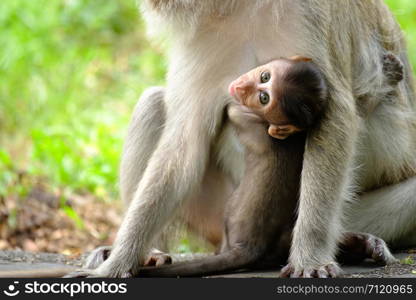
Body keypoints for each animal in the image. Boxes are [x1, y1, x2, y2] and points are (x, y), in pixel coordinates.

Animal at [70, 0, 414, 278]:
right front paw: (119, 262)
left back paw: (354, 242)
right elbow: (185, 142)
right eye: (262, 76)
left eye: (266, 87)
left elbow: (335, 115)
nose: (245, 87)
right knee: (153, 103)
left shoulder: (311, 13)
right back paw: (151, 251)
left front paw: (310, 258)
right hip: (214, 212)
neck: (239, 6)